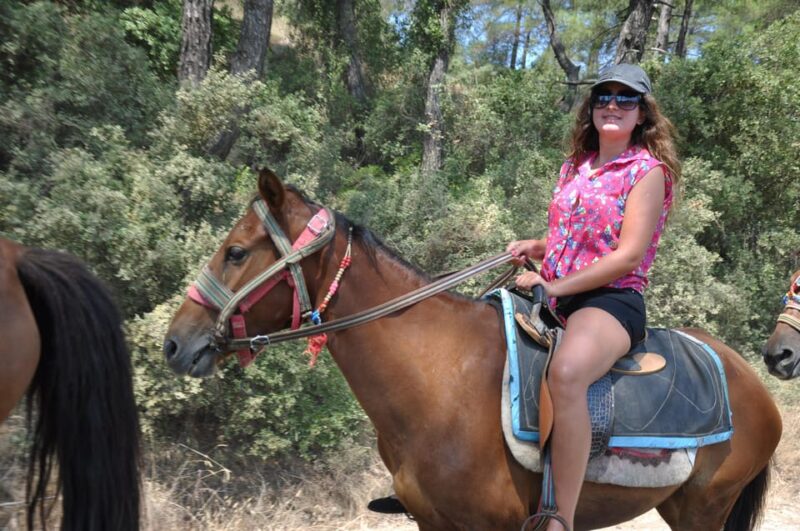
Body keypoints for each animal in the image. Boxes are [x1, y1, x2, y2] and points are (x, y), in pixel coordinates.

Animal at [163, 169, 782, 530]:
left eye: (236, 252)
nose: (174, 342)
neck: (438, 379)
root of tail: (750, 379)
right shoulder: (432, 522)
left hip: (704, 509)